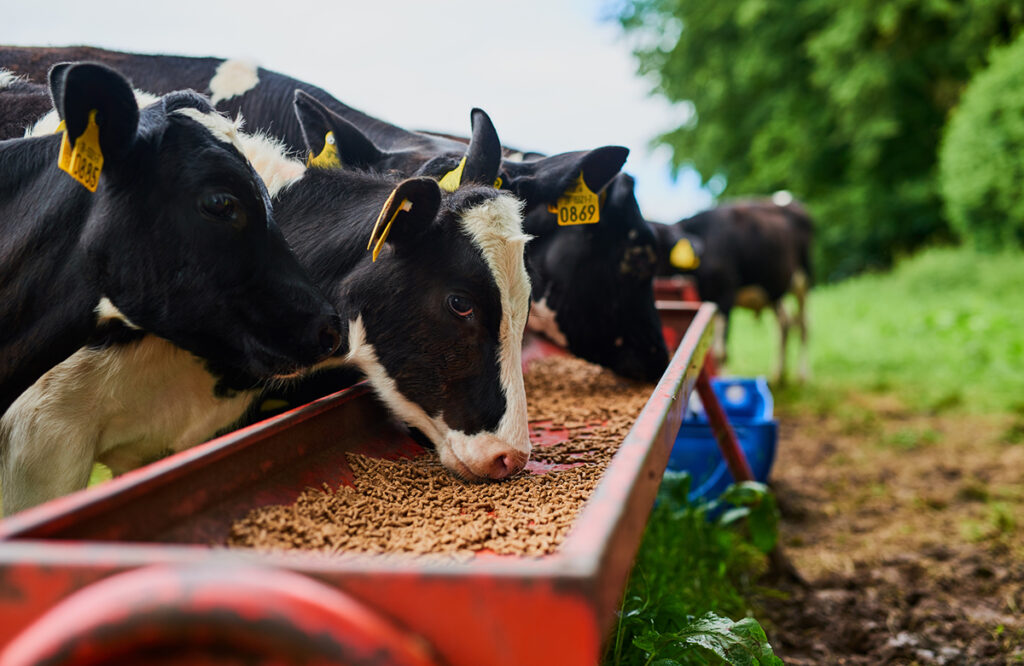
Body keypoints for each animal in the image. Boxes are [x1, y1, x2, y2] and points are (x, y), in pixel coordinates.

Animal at [651, 193, 814, 383]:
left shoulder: (724, 296)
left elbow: (720, 351)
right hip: (774, 288)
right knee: (785, 323)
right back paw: (778, 374)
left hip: (803, 281)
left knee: (803, 325)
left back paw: (803, 375)